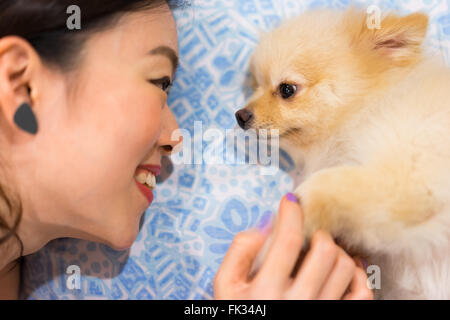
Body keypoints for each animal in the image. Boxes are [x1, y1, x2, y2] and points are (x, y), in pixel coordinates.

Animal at [237, 7, 450, 298]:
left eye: (286, 89)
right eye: (256, 85)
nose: (240, 115)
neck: (369, 110)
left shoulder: (408, 175)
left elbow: (323, 184)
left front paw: (270, 246)